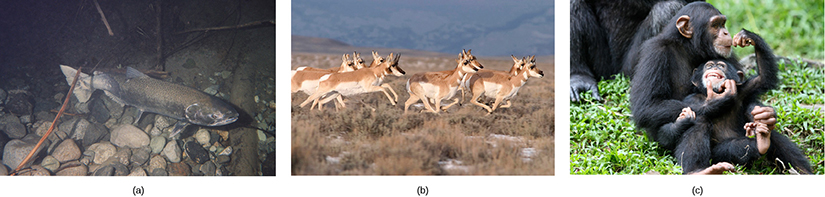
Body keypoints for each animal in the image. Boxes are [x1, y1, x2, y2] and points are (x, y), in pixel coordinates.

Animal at [632, 2, 780, 173]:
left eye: (723, 23)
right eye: (715, 25)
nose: (725, 32)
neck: (688, 48)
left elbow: (762, 81)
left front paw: (749, 37)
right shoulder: (654, 53)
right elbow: (647, 106)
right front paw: (717, 101)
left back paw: (763, 141)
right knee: (698, 120)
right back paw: (698, 170)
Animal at [668, 30, 812, 175]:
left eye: (721, 65)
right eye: (708, 65)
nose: (714, 67)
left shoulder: (745, 89)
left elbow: (763, 78)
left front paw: (748, 37)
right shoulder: (691, 99)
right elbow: (687, 109)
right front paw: (719, 99)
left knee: (767, 140)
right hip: (717, 155)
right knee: (701, 122)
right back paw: (697, 171)